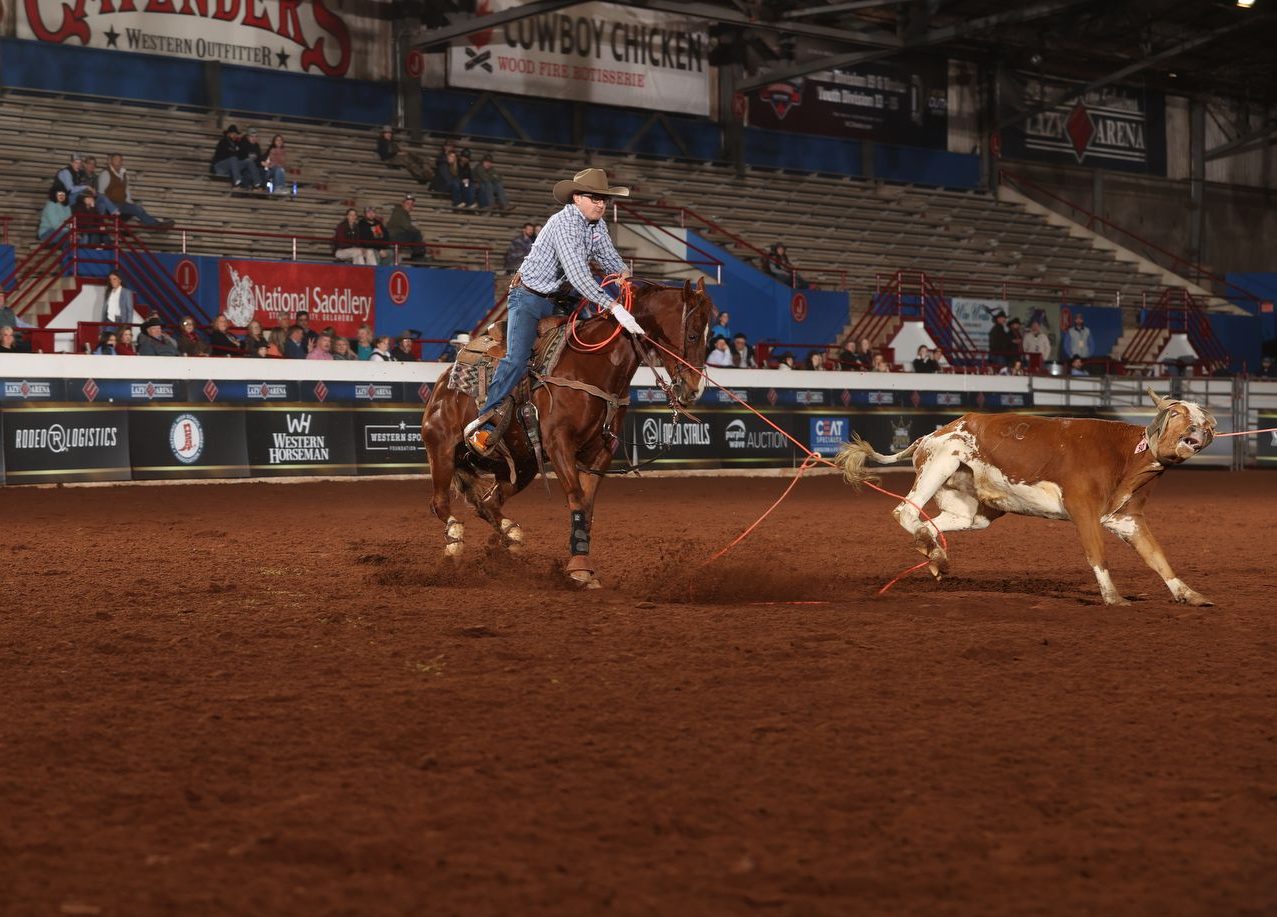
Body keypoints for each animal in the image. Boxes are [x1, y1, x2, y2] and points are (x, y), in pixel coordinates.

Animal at [421, 277, 715, 590]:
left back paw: (511, 536)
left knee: (488, 502)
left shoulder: (600, 452)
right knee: (439, 503)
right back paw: (454, 543)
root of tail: (444, 382)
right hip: (442, 449)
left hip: (522, 466)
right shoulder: (560, 444)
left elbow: (587, 506)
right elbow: (575, 497)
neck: (592, 366)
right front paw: (580, 569)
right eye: (693, 335)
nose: (695, 389)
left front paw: (583, 566)